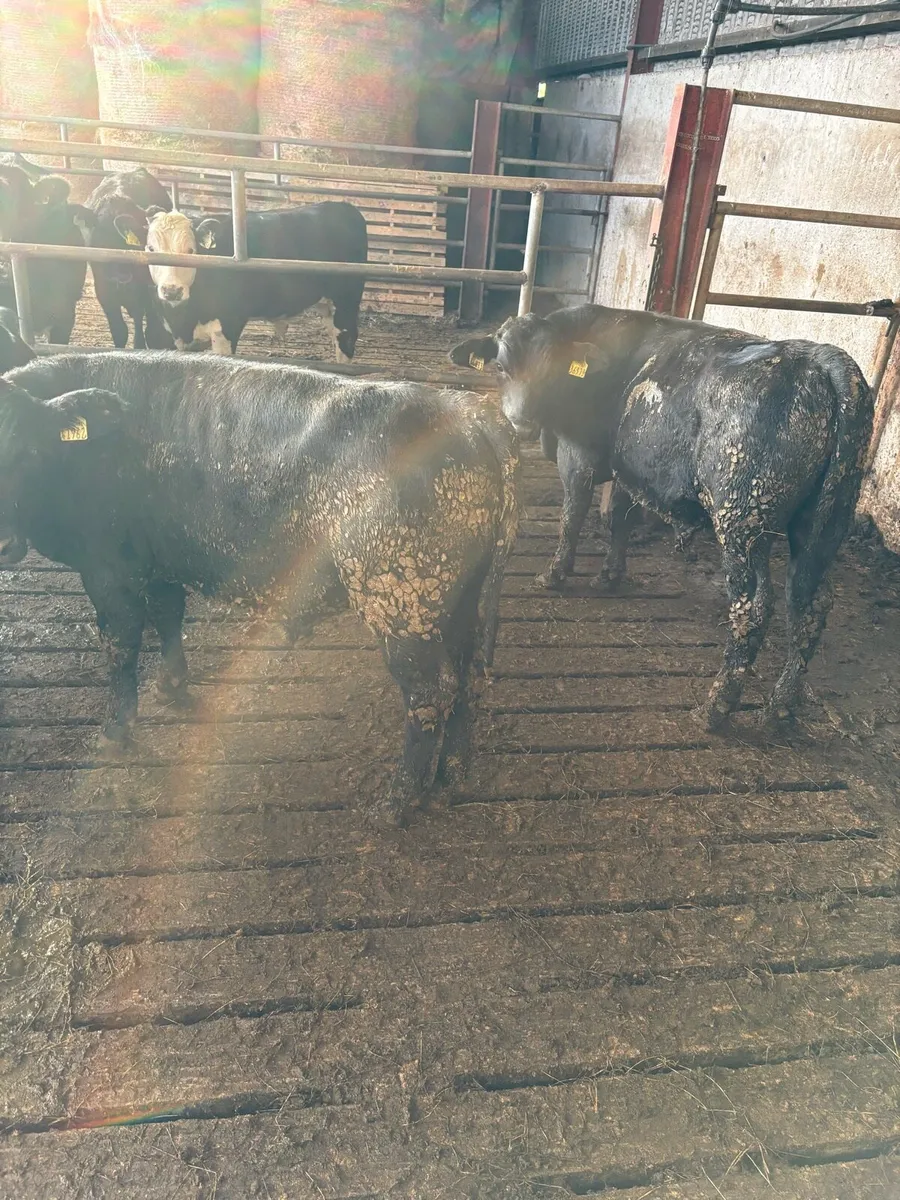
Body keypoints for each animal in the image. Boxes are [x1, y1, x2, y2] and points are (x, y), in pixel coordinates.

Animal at [0, 352, 518, 824]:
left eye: (24, 452)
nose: (4, 542)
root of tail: (467, 413)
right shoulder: (163, 556)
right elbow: (168, 615)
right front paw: (172, 686)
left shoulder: (108, 567)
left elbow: (119, 646)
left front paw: (116, 731)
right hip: (460, 601)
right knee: (466, 678)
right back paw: (448, 782)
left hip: (400, 603)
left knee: (429, 696)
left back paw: (395, 804)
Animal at [145, 202, 368, 360]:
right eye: (151, 249)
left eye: (191, 250)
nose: (171, 290)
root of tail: (342, 206)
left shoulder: (227, 327)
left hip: (346, 299)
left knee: (346, 339)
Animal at [451, 304, 873, 732]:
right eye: (501, 366)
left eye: (551, 367)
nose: (521, 423)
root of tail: (818, 358)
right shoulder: (627, 466)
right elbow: (619, 520)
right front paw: (610, 575)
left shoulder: (577, 457)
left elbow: (572, 517)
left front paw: (554, 575)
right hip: (823, 524)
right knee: (809, 604)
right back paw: (779, 709)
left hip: (743, 519)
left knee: (754, 607)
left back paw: (715, 708)